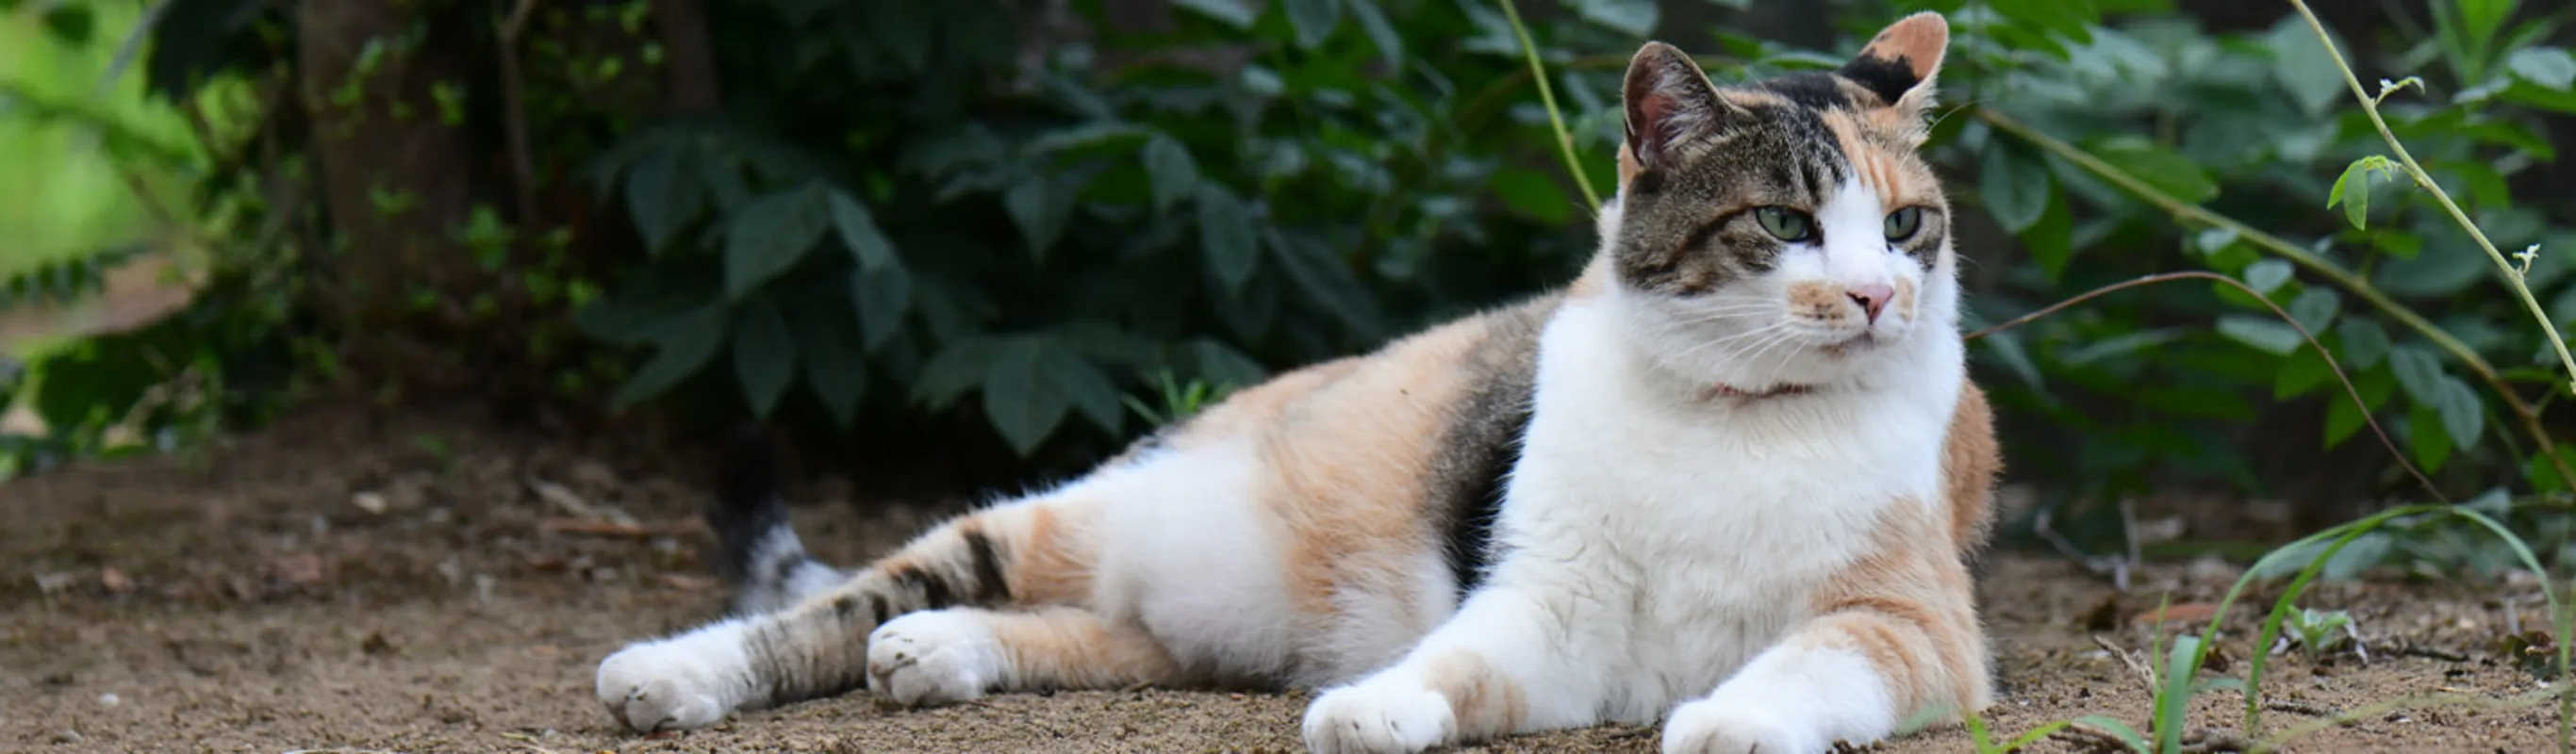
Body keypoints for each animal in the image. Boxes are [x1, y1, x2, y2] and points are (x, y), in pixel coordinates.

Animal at [597, 12, 1989, 751]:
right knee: (848, 602)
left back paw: (936, 653)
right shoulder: (1547, 605)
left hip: (1178, 619)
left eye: (1904, 226)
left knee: (1098, 635)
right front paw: (1369, 709)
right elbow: (1456, 659)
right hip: (1071, 513)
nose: (1877, 297)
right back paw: (675, 673)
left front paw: (1729, 719)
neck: (1739, 422)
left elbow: (1809, 663)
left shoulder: (1915, 625)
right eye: (1786, 225)